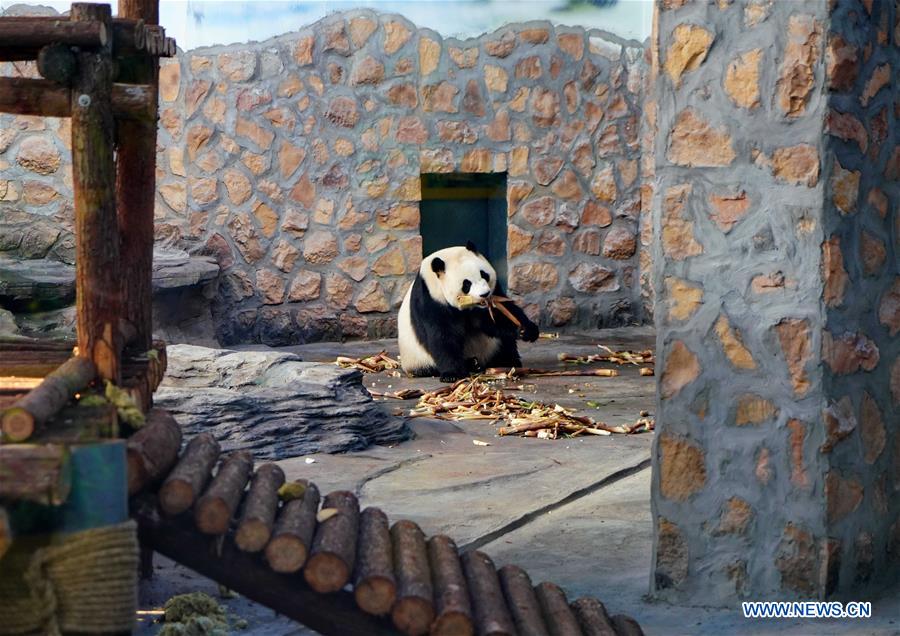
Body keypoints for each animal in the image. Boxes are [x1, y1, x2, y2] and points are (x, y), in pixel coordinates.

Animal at [398, 241, 540, 382]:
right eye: (466, 284)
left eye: (484, 274)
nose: (485, 294)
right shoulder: (431, 300)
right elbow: (442, 335)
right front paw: (452, 374)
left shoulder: (493, 294)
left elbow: (498, 316)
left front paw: (526, 329)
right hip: (417, 358)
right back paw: (472, 363)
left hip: (492, 346)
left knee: (505, 344)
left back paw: (506, 362)